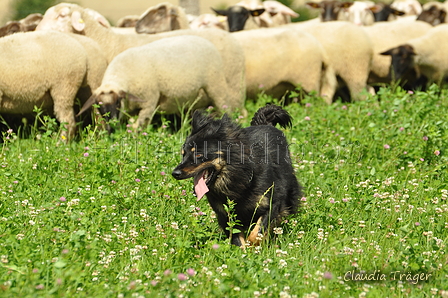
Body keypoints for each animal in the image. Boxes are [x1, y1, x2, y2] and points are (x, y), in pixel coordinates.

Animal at [77, 34, 245, 129]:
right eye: (98, 105)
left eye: (118, 102)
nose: (111, 124)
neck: (122, 76)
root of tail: (204, 40)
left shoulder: (149, 101)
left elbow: (140, 125)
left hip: (215, 83)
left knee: (225, 107)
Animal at [171, 105, 300, 247]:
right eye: (183, 154)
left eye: (198, 155)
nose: (175, 173)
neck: (239, 175)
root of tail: (265, 123)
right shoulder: (226, 214)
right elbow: (237, 238)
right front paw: (242, 250)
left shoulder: (273, 202)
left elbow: (257, 232)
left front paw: (252, 245)